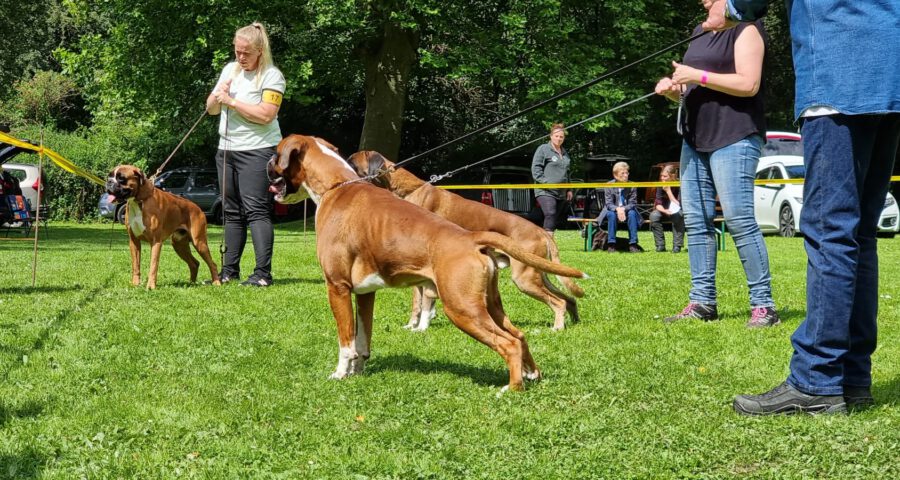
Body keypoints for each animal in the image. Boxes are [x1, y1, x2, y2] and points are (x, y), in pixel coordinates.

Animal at [348, 152, 588, 332]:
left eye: (351, 162)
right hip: (538, 275)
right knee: (568, 299)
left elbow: (423, 299)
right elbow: (419, 301)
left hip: (525, 278)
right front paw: (415, 324)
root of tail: (541, 231)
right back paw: (574, 322)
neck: (406, 190)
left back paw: (557, 327)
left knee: (558, 302)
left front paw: (422, 325)